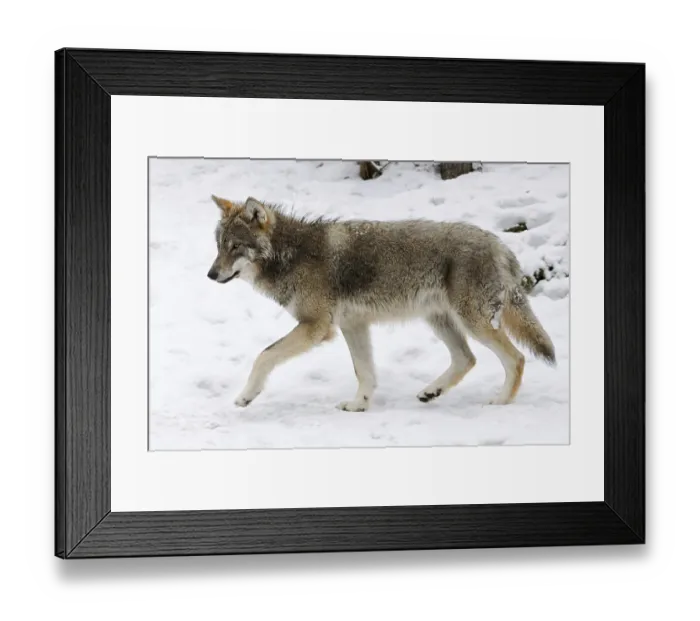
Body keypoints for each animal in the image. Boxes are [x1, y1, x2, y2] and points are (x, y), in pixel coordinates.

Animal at [207, 195, 556, 412]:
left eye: (236, 246)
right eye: (219, 245)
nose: (210, 274)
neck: (291, 254)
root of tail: (500, 244)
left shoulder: (316, 327)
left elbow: (264, 356)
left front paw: (246, 396)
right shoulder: (353, 325)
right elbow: (364, 372)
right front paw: (359, 405)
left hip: (474, 322)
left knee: (516, 358)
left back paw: (500, 402)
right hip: (440, 321)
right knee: (466, 359)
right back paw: (432, 392)